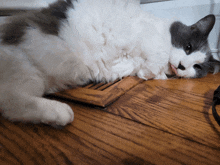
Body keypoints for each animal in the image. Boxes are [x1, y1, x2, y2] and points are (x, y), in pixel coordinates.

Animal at [0, 0, 220, 126]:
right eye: (188, 47)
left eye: (197, 67)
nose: (182, 66)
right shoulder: (148, 37)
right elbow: (154, 57)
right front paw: (153, 71)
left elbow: (136, 68)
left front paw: (148, 73)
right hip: (25, 70)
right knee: (11, 101)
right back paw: (63, 113)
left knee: (11, 105)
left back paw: (58, 114)